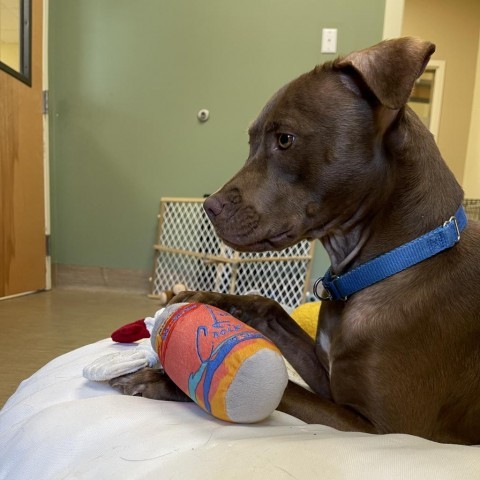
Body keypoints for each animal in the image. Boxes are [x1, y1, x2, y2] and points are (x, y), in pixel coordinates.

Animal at [112, 38, 480, 446]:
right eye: (252, 142)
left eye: (285, 139)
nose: (210, 206)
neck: (398, 260)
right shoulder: (327, 375)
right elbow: (266, 303)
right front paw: (201, 296)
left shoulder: (382, 429)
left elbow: (281, 388)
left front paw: (167, 378)